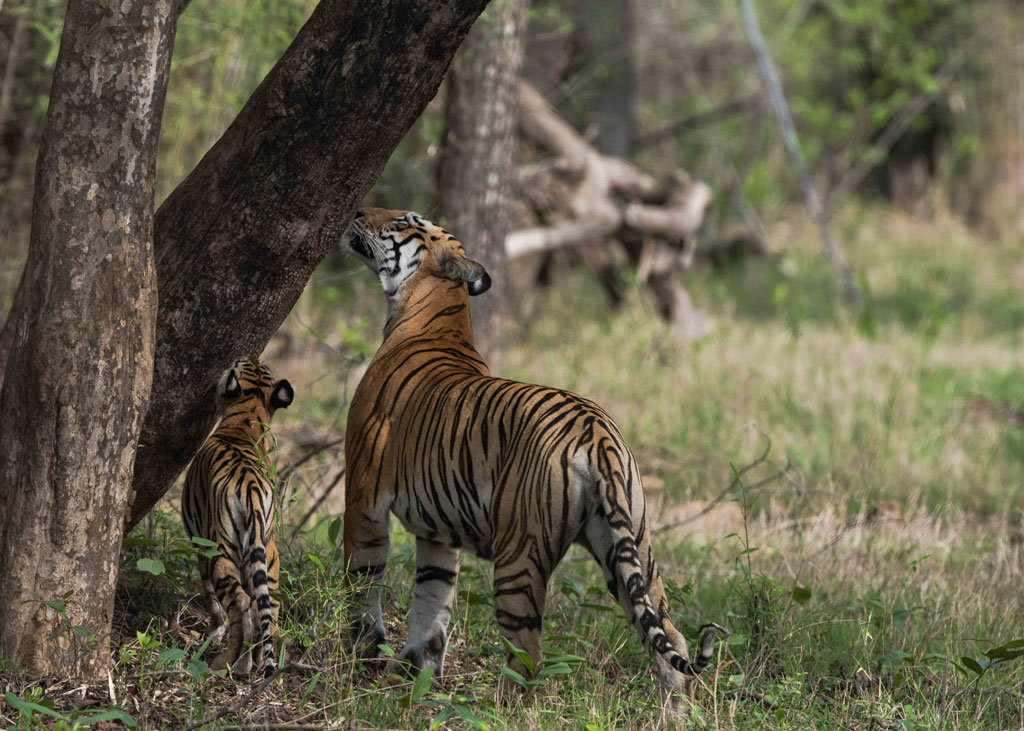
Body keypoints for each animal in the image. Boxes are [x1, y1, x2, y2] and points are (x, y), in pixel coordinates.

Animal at [182, 356, 294, 675]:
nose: (251, 356)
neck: (248, 414)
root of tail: (253, 495)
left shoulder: (199, 542)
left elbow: (210, 596)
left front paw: (213, 630)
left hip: (220, 550)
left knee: (242, 602)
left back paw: (230, 661)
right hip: (270, 554)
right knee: (266, 608)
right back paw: (254, 661)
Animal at [342, 207, 712, 704]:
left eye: (403, 221)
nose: (359, 211)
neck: (435, 309)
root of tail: (599, 431)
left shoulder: (363, 497)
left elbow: (362, 583)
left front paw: (361, 659)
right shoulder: (437, 531)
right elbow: (432, 605)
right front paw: (416, 679)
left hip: (519, 555)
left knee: (528, 655)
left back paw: (495, 707)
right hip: (630, 544)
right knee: (670, 636)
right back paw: (676, 712)